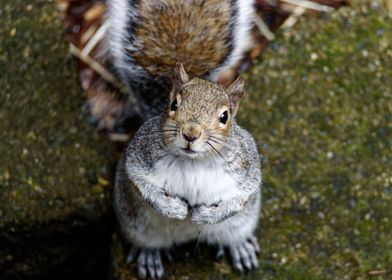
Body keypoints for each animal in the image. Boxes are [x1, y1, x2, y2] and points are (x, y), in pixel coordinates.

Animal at [115, 64, 262, 280]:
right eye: (174, 104)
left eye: (224, 117)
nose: (190, 134)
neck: (194, 161)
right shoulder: (139, 157)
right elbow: (142, 185)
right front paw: (173, 208)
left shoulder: (246, 170)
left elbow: (239, 199)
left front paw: (207, 216)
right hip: (136, 226)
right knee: (147, 242)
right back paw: (150, 255)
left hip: (241, 224)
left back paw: (240, 247)